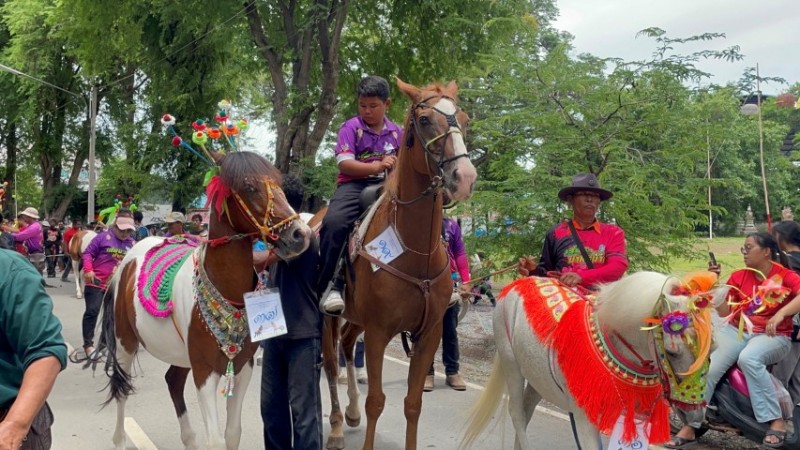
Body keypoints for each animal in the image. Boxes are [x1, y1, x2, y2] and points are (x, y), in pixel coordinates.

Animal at [98, 152, 310, 450]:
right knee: (122, 389)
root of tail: (127, 261)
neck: (228, 292)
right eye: (249, 186)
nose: (300, 234)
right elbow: (216, 440)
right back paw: (119, 440)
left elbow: (232, 433)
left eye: (279, 185)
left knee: (173, 382)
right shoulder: (204, 372)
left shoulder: (242, 368)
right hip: (124, 343)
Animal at [322, 78, 478, 450]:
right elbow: (377, 401)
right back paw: (336, 428)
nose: (464, 176)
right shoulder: (379, 332)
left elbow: (413, 403)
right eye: (423, 120)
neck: (416, 252)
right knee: (331, 363)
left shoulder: (430, 332)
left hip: (357, 319)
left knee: (346, 345)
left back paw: (350, 414)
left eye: (464, 119)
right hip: (328, 316)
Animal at [456, 270, 724, 450]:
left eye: (712, 350)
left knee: (527, 407)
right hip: (511, 363)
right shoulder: (585, 419)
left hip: (538, 378)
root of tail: (518, 283)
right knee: (517, 412)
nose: (695, 417)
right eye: (672, 352)